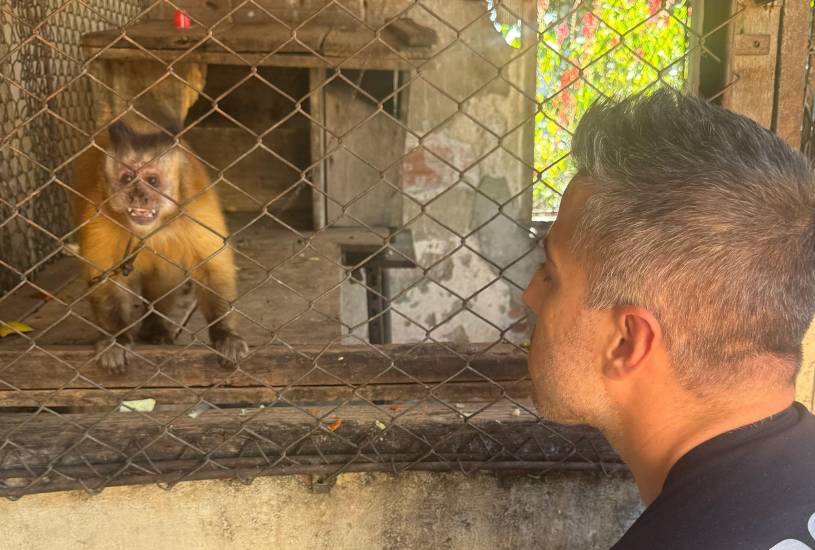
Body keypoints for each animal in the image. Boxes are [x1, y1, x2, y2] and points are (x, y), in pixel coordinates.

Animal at [70, 118, 249, 374]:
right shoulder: (99, 213)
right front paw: (116, 341)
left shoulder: (196, 209)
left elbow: (212, 272)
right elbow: (104, 279)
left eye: (152, 180)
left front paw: (225, 334)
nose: (138, 196)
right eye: (127, 179)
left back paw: (156, 326)